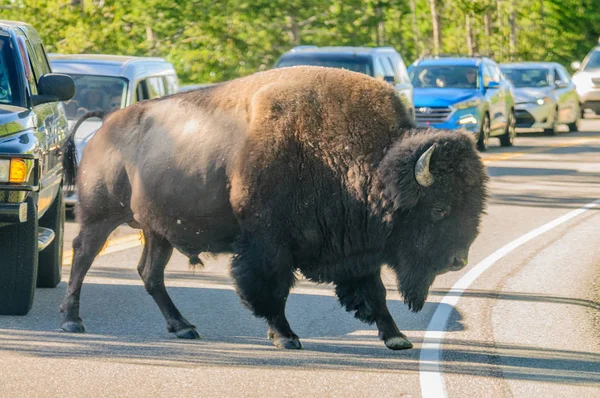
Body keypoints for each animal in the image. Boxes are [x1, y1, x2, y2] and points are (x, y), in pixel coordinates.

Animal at [62, 67, 488, 350]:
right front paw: (285, 337)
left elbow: (375, 293)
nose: (458, 260)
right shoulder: (269, 243)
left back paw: (183, 326)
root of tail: (106, 122)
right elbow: (272, 290)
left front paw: (397, 338)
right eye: (439, 208)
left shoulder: (356, 247)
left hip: (156, 230)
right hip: (99, 216)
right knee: (82, 256)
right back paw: (72, 321)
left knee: (150, 273)